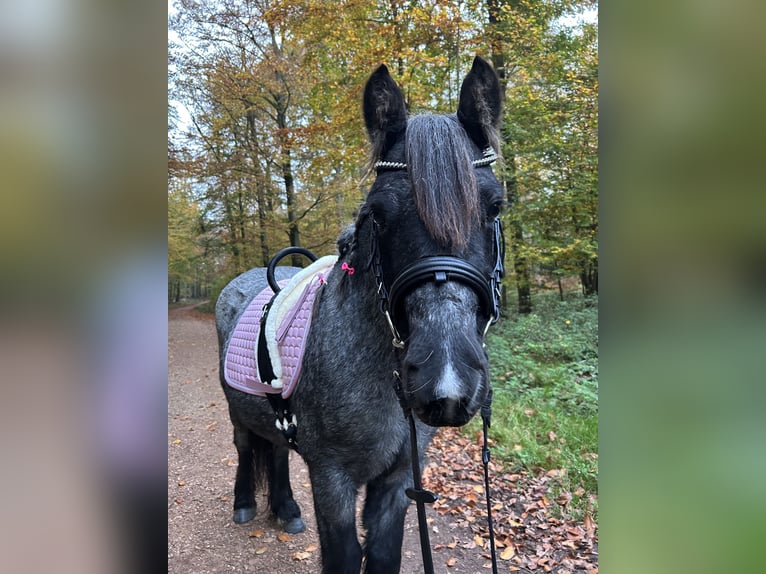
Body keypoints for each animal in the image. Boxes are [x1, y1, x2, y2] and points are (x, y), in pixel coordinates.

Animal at [214, 55, 504, 574]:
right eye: (379, 213)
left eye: (495, 206)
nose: (445, 381)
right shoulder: (332, 477)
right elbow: (345, 556)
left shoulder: (398, 480)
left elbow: (384, 553)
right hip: (237, 412)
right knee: (248, 446)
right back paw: (245, 503)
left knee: (278, 452)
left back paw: (286, 508)